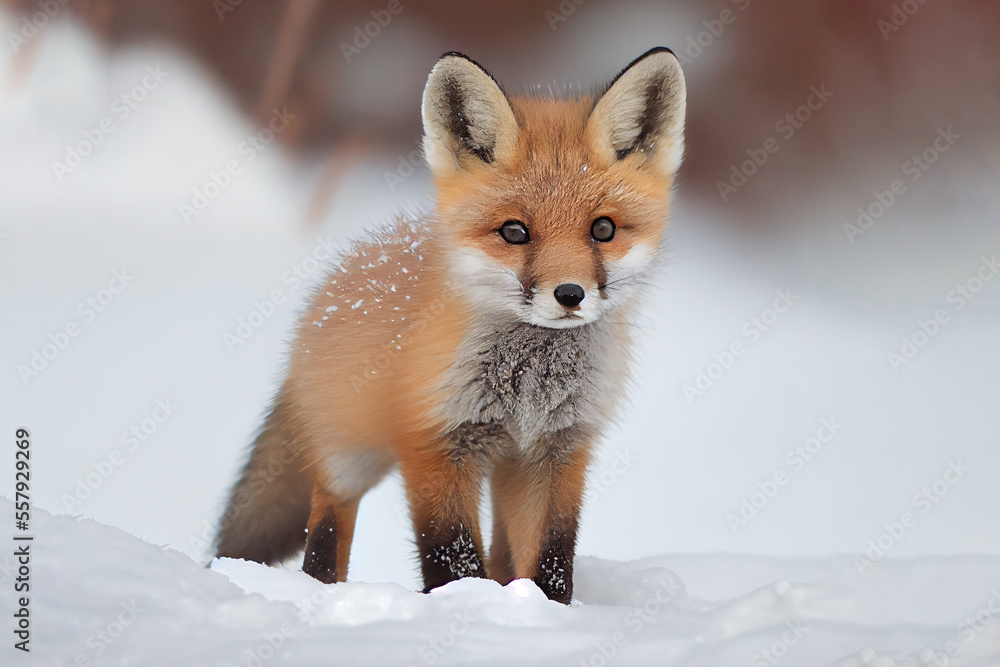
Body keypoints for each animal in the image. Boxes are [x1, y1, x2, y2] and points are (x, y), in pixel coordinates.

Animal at [214, 47, 686, 604]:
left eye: (604, 229)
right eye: (514, 232)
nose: (570, 294)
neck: (527, 388)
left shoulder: (558, 449)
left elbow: (552, 560)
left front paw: (541, 611)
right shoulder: (435, 442)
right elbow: (451, 554)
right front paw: (464, 604)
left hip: (503, 472)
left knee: (504, 553)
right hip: (349, 459)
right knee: (326, 529)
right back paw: (323, 591)